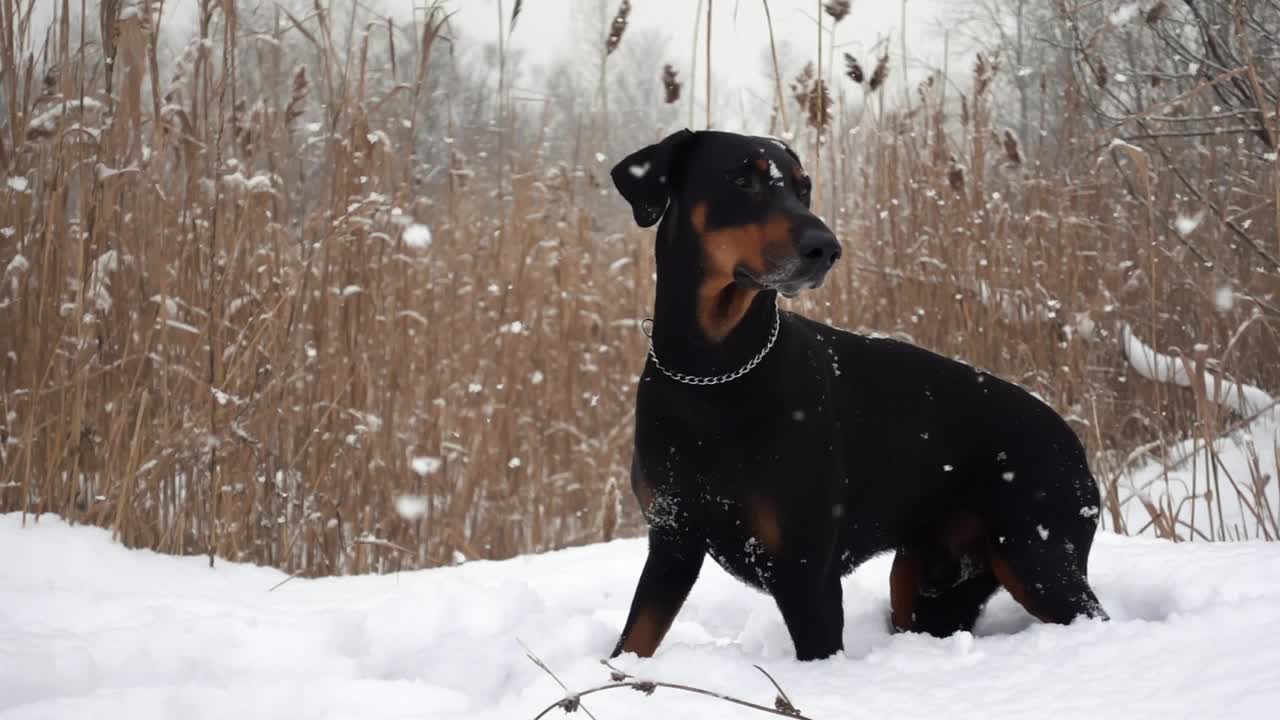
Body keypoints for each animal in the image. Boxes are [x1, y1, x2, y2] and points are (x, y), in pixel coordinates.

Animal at [606, 127, 1100, 655]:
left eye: (803, 188)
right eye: (741, 179)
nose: (826, 247)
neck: (712, 373)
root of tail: (1076, 445)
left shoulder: (806, 571)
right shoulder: (672, 542)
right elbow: (633, 641)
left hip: (1037, 556)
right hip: (928, 581)